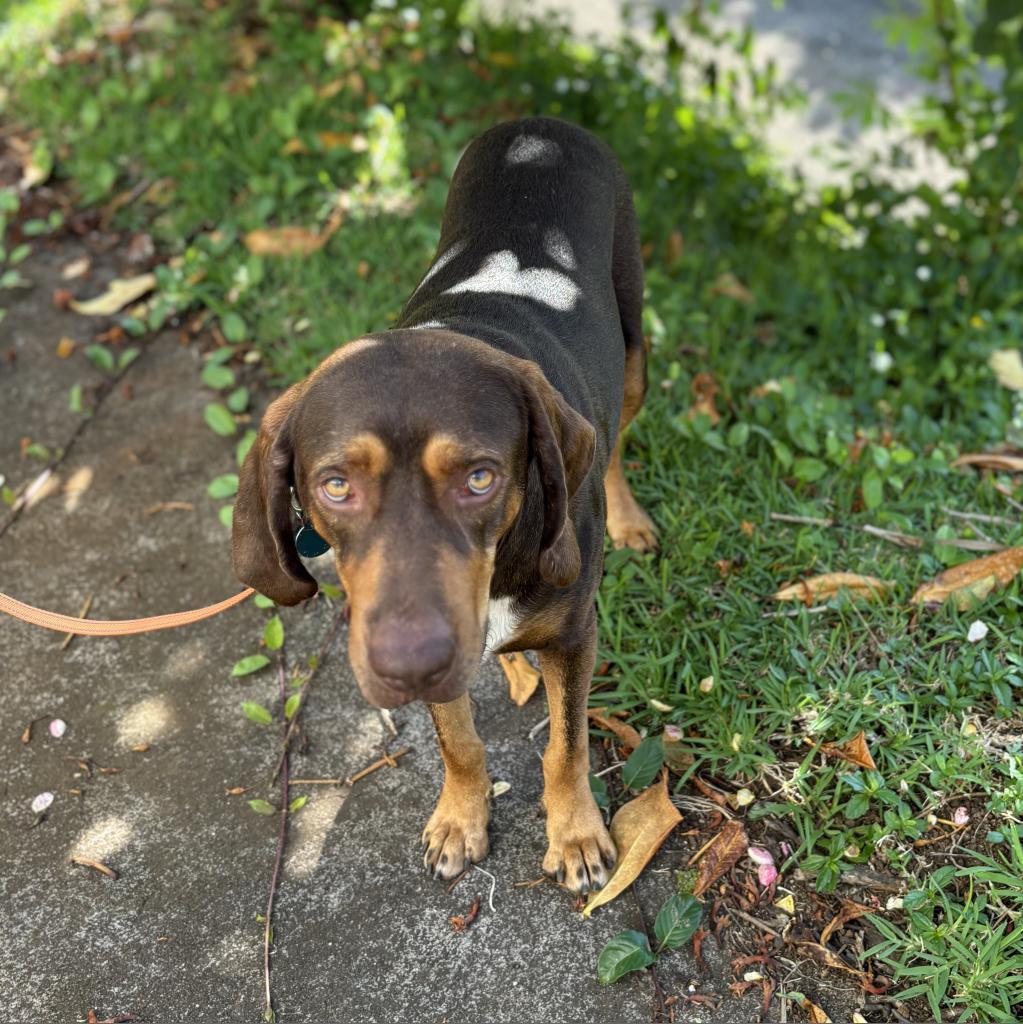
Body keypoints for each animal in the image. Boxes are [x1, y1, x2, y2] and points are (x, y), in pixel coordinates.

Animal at [232, 116, 655, 892]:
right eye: (335, 486)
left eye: (480, 478)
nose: (406, 663)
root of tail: (539, 125)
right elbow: (458, 740)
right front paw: (462, 816)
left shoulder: (574, 635)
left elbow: (568, 745)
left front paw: (576, 834)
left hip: (635, 345)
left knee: (616, 437)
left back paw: (628, 516)